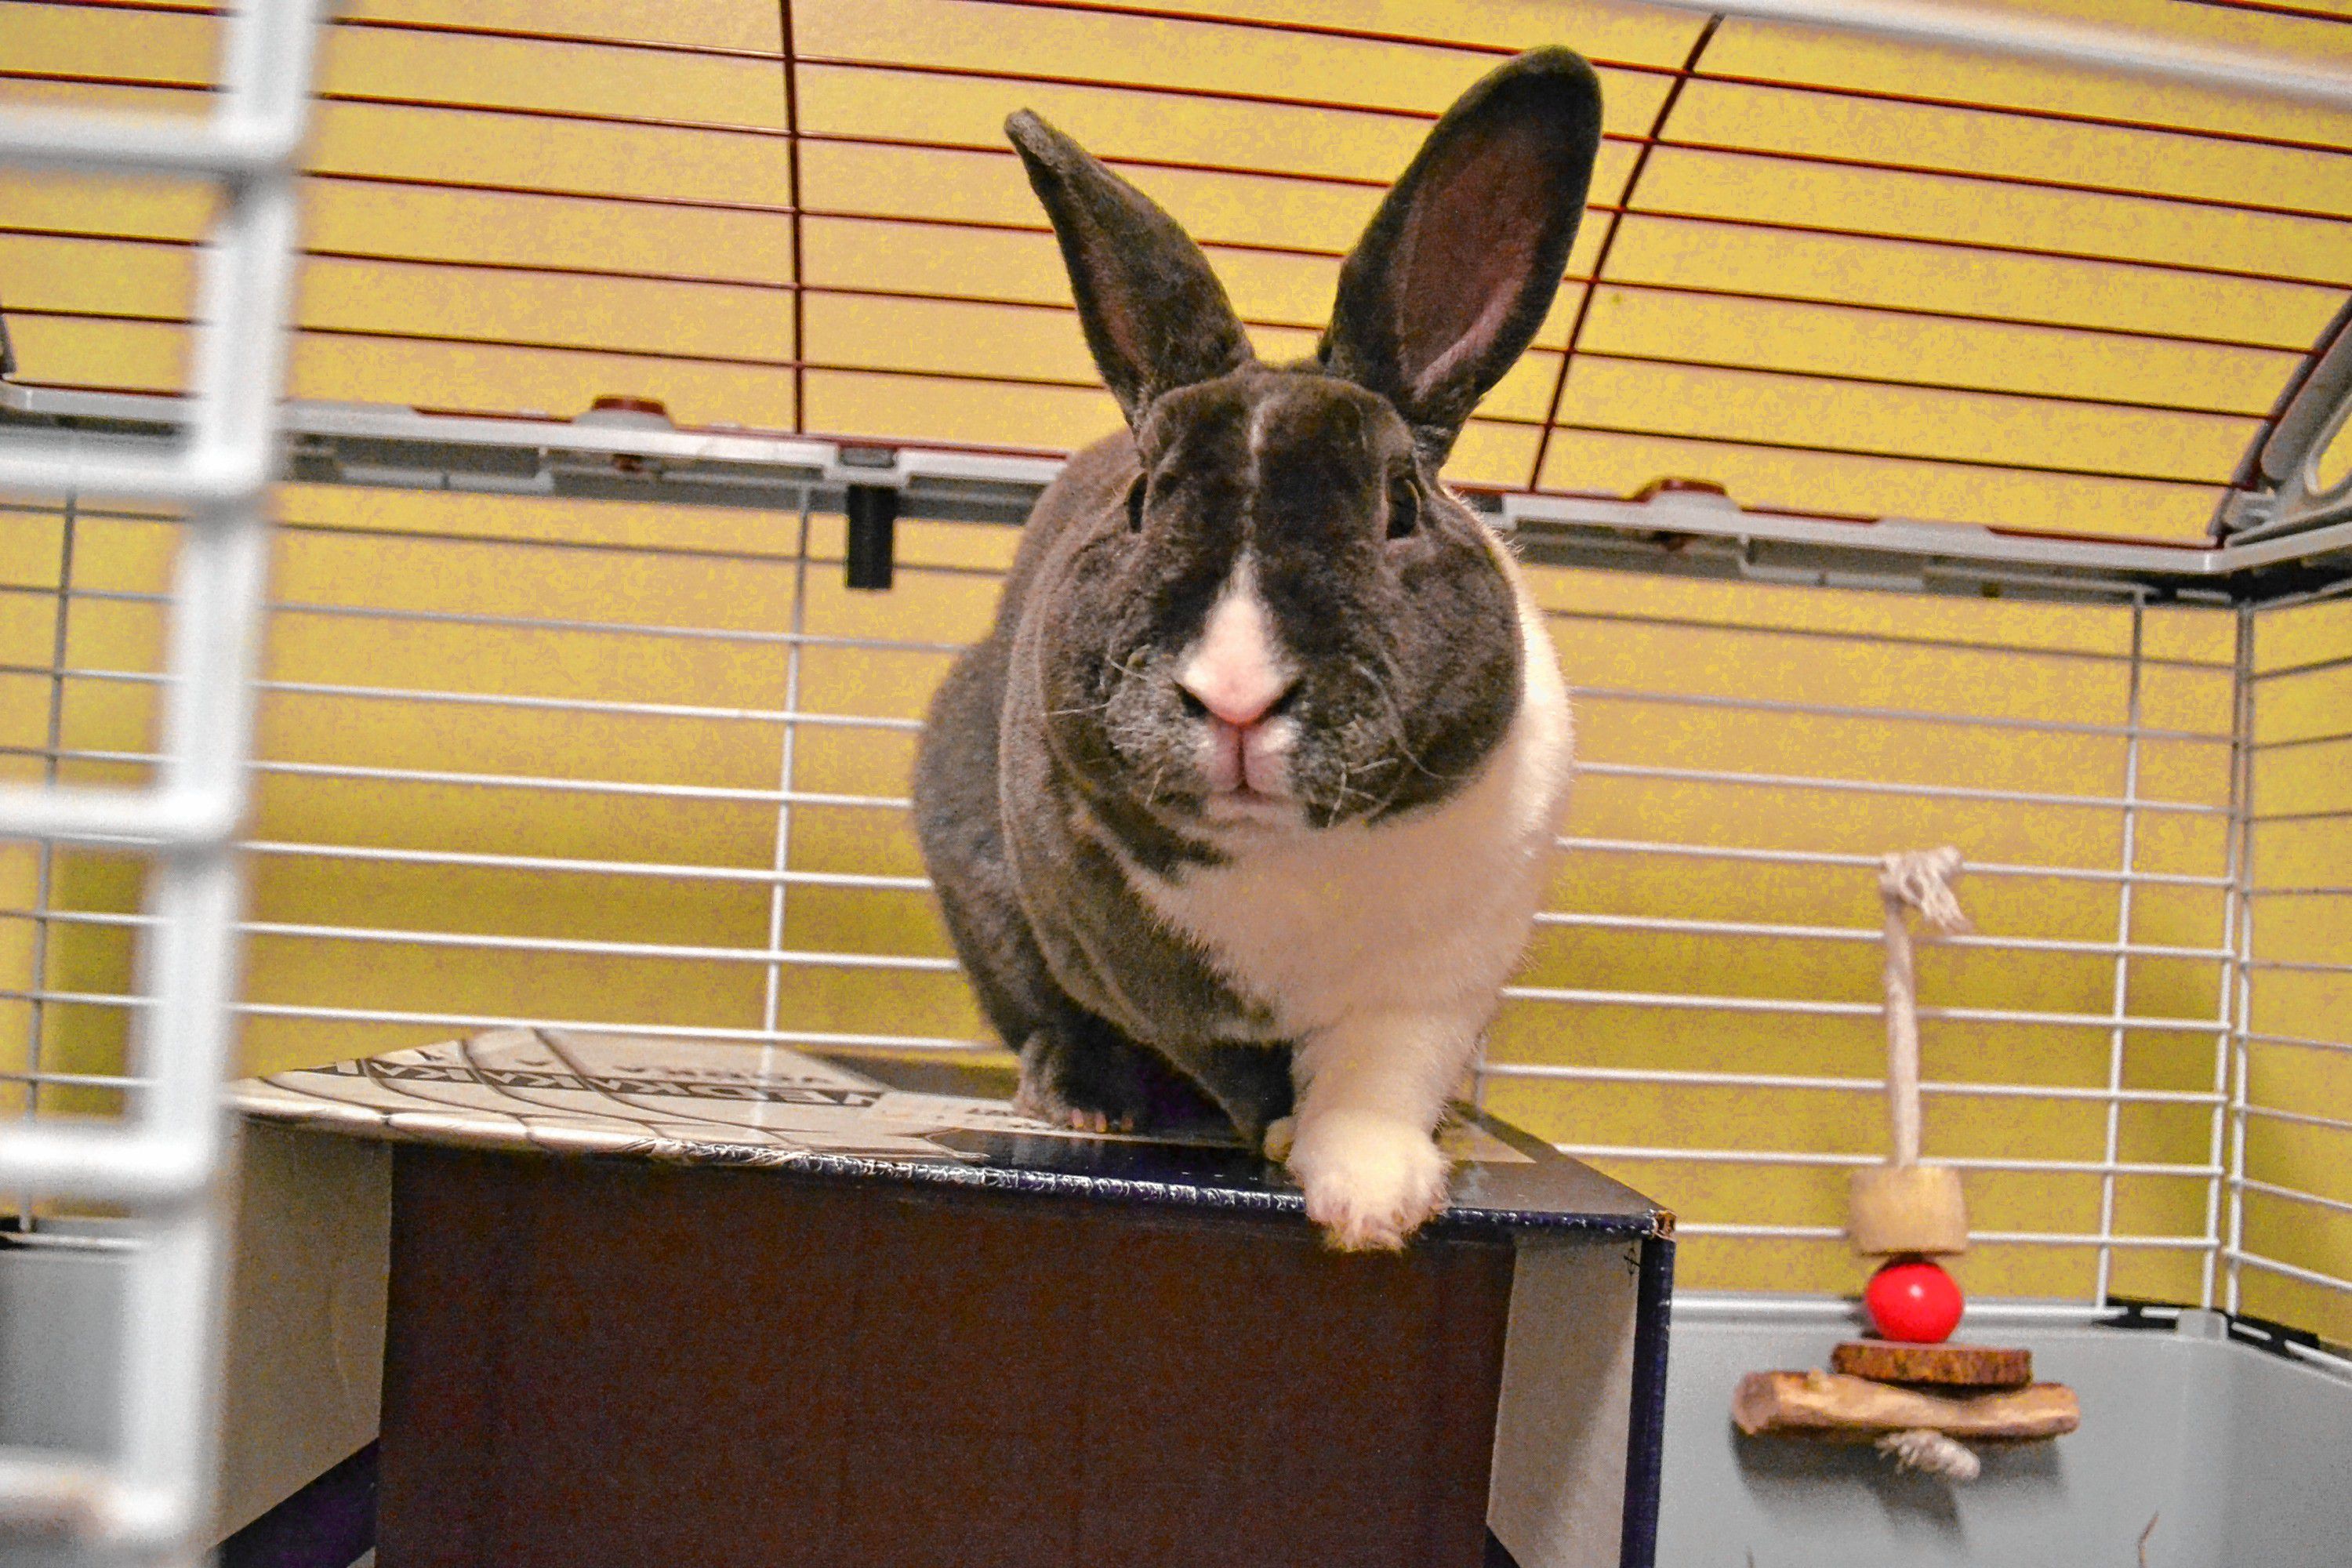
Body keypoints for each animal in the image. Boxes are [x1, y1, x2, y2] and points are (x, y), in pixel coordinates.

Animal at [903, 49, 1599, 1250]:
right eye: (1144, 499)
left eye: (1399, 506)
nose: (1235, 697)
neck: (1290, 858)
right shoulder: (1143, 971)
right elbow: (1234, 1066)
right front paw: (1288, 1141)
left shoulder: (1442, 982)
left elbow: (1380, 1076)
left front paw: (1371, 1194)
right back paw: (1078, 1096)